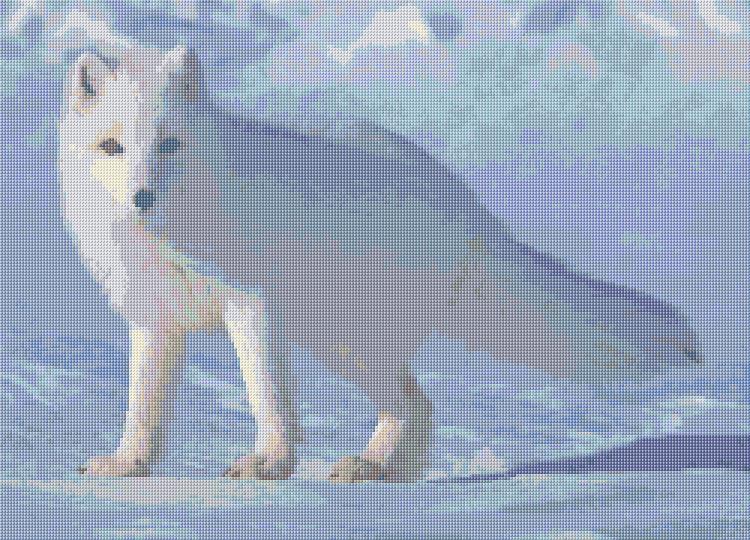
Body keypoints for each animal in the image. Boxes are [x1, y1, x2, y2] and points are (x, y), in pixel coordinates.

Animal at [59, 45, 701, 482]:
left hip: (344, 342)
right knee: (420, 405)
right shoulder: (155, 322)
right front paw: (127, 466)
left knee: (414, 403)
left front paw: (269, 465)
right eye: (113, 146)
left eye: (169, 144)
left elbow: (266, 394)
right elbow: (142, 406)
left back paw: (370, 469)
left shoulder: (251, 310)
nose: (142, 197)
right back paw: (390, 475)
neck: (170, 239)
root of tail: (468, 205)